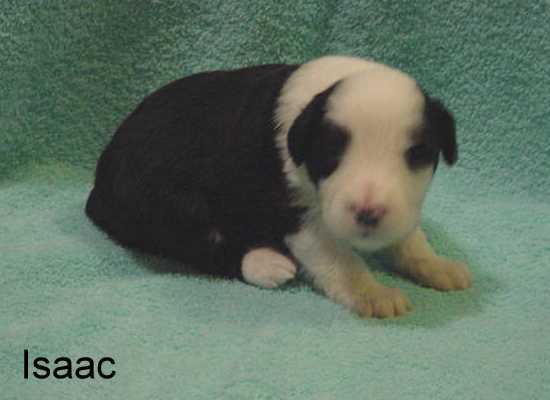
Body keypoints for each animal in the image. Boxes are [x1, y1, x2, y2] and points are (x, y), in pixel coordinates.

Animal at [86, 55, 471, 318]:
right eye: (332, 153)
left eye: (417, 154)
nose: (368, 213)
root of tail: (97, 189)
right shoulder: (297, 215)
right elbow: (340, 260)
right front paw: (373, 293)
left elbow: (410, 239)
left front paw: (437, 265)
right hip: (165, 204)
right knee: (202, 244)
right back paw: (265, 262)